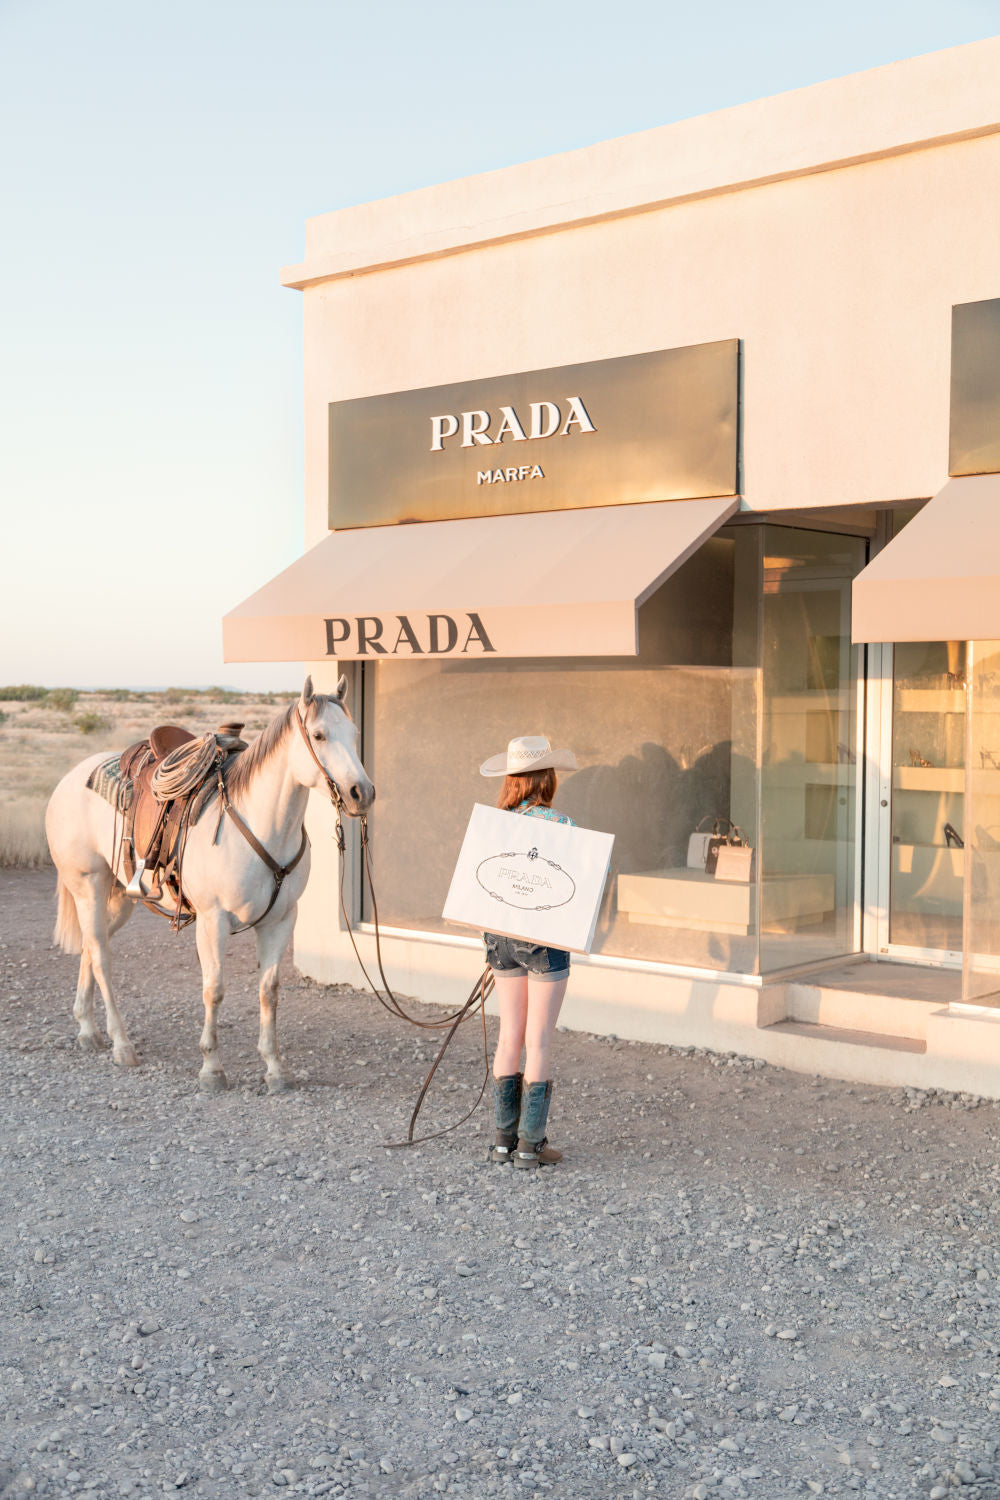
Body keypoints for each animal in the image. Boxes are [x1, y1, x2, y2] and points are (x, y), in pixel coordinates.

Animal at [44, 678, 373, 1092]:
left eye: (354, 733)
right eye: (319, 735)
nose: (362, 793)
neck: (259, 823)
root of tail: (68, 779)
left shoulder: (280, 921)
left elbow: (269, 992)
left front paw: (275, 1069)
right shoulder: (213, 920)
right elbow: (214, 990)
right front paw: (212, 1069)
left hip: (116, 899)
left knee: (91, 945)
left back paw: (88, 1030)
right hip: (87, 886)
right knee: (101, 957)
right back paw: (121, 1044)